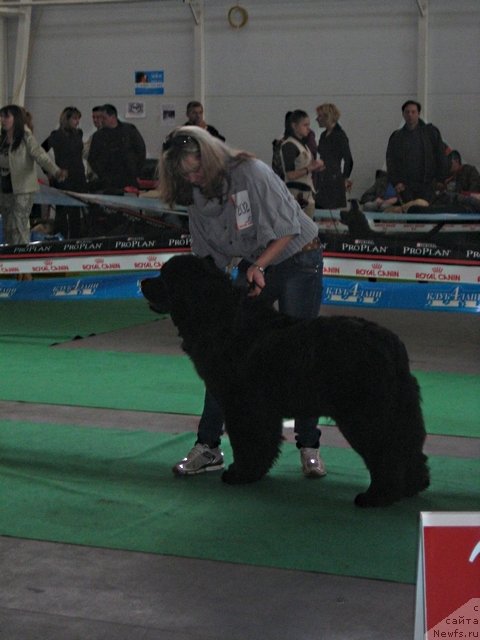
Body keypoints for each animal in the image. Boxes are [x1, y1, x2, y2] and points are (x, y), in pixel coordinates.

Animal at [141, 252, 430, 508]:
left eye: (164, 276)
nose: (142, 282)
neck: (217, 317)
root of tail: (391, 345)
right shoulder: (260, 410)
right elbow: (263, 442)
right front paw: (253, 472)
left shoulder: (243, 406)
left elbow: (247, 441)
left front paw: (239, 474)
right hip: (399, 412)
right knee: (409, 447)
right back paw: (412, 486)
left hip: (366, 415)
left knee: (387, 453)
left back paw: (376, 497)